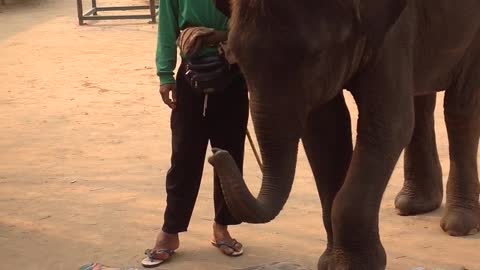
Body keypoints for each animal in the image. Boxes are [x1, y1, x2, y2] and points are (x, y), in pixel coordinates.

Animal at [209, 0, 480, 270]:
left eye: (316, 57)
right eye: (238, 60)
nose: (216, 153)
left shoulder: (393, 33)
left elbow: (388, 125)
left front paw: (353, 265)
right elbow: (324, 130)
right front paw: (332, 263)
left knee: (461, 107)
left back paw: (459, 225)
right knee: (423, 99)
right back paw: (413, 205)